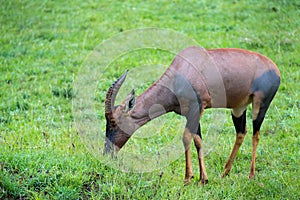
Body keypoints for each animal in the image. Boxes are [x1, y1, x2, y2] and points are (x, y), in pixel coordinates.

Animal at [104, 46, 280, 184]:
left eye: (113, 122)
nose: (107, 154)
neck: (180, 72)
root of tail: (274, 67)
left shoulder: (197, 108)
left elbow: (186, 138)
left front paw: (188, 178)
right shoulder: (192, 114)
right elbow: (198, 140)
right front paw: (203, 178)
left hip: (260, 104)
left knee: (256, 134)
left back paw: (251, 175)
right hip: (238, 108)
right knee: (241, 132)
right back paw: (225, 173)